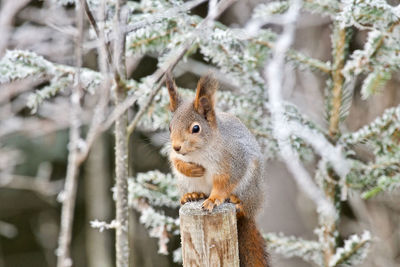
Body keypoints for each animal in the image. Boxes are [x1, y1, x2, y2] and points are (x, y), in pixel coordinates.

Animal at [164, 73, 270, 267]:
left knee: (244, 208)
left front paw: (214, 199)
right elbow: (176, 162)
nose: (176, 146)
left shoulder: (234, 160)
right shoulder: (175, 156)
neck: (198, 152)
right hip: (184, 183)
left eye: (196, 128)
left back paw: (236, 202)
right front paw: (193, 170)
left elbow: (224, 182)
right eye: (170, 127)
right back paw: (193, 195)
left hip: (250, 188)